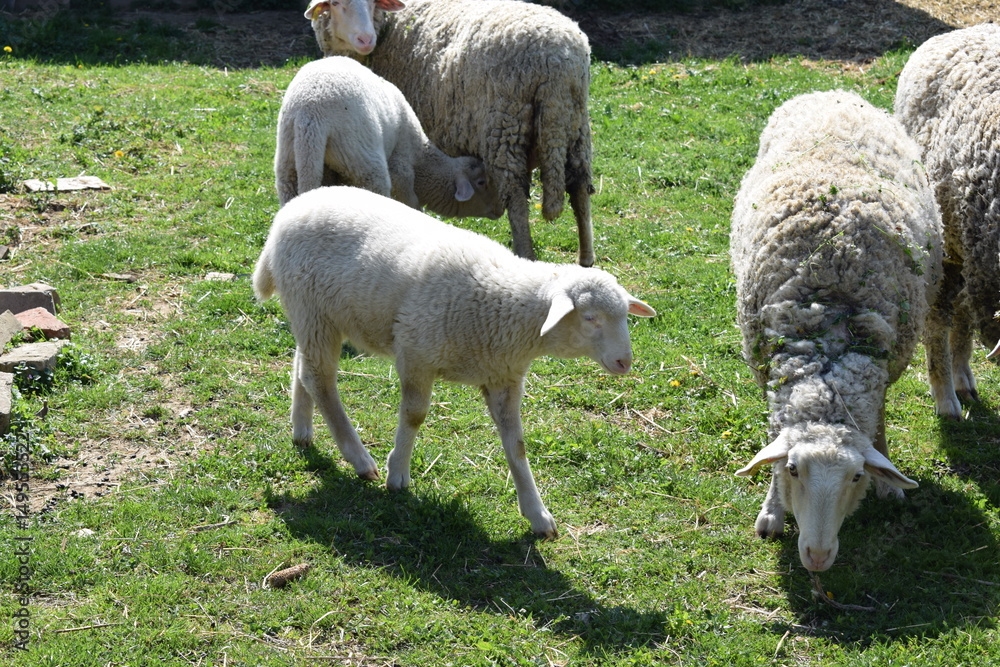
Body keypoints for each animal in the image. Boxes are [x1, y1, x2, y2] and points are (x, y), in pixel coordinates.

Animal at [252, 185, 656, 538]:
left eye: (624, 315)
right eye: (590, 318)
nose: (625, 362)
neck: (504, 305)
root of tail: (288, 213)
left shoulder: (503, 377)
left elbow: (517, 445)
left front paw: (538, 515)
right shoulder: (416, 353)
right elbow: (414, 416)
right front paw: (397, 474)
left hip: (313, 315)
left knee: (303, 368)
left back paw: (302, 430)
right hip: (314, 309)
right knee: (320, 379)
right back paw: (359, 458)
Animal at [274, 55, 500, 219]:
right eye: (481, 182)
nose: (499, 211)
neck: (422, 158)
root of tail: (310, 115)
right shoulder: (401, 165)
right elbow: (408, 197)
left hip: (290, 164)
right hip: (363, 161)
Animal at [303, 0, 596, 267]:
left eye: (371, 4)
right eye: (337, 4)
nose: (365, 40)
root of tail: (556, 62)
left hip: (505, 127)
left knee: (515, 196)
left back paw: (525, 253)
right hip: (575, 123)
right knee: (579, 185)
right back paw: (586, 257)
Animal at [730, 90, 943, 571]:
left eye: (856, 475)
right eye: (793, 469)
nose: (817, 556)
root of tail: (831, 92)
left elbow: (878, 423)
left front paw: (888, 483)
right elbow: (774, 439)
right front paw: (772, 510)